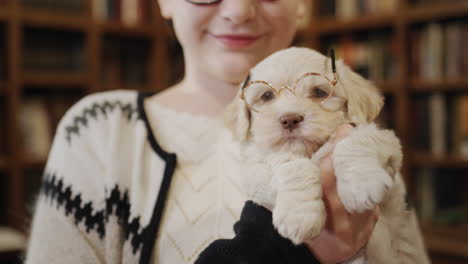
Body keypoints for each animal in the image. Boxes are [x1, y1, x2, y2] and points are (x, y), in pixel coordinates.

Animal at [225, 48, 430, 264]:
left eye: (319, 92)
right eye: (266, 96)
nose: (290, 119)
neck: (312, 151)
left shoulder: (387, 142)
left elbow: (357, 142)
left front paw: (361, 184)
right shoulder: (255, 171)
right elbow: (289, 163)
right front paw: (299, 215)